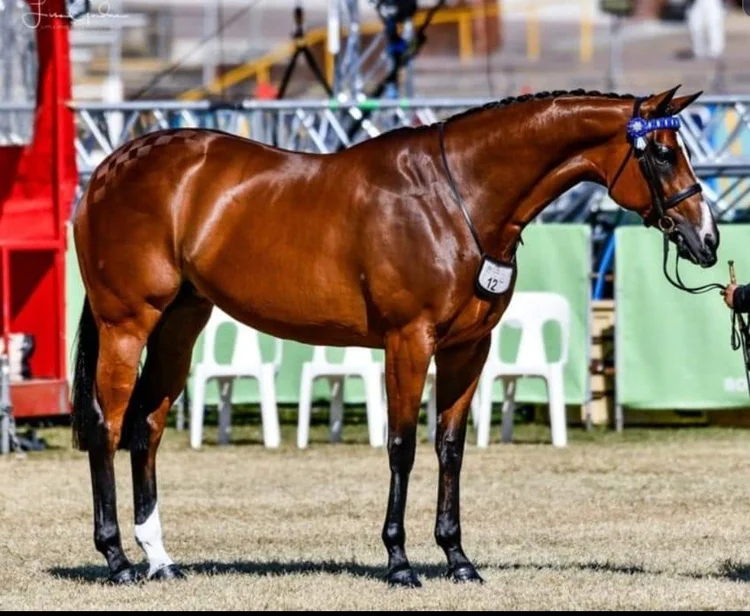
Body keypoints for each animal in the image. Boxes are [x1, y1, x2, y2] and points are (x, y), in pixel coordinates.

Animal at [71, 86, 718, 587]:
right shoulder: (409, 342)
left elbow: (450, 448)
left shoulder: (467, 349)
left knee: (147, 426)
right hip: (126, 323)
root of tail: (112, 167)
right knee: (108, 425)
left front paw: (457, 558)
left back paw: (159, 558)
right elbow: (402, 446)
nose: (707, 238)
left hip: (180, 321)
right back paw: (117, 559)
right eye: (663, 154)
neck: (457, 199)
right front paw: (400, 561)